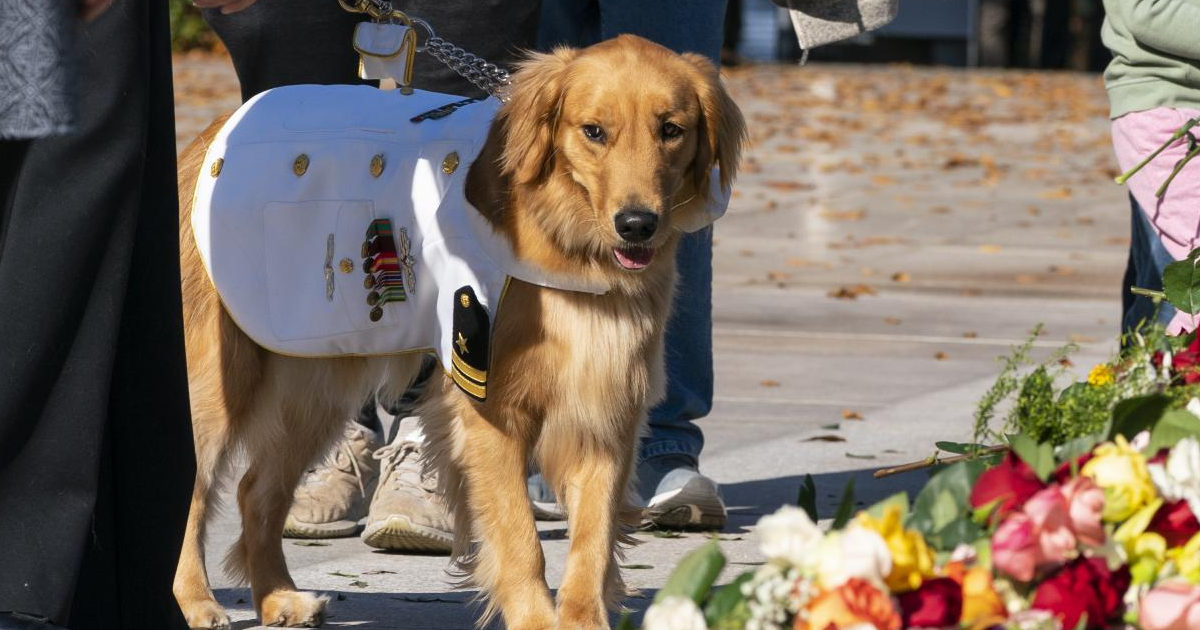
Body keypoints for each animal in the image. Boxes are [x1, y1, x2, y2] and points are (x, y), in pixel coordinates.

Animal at [174, 35, 744, 628]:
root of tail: (214, 132)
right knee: (195, 493)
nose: (637, 225)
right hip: (218, 388)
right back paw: (197, 600)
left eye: (671, 130)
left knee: (255, 490)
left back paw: (277, 597)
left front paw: (582, 617)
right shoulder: (491, 410)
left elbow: (593, 538)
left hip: (315, 386)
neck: (567, 248)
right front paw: (536, 618)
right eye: (593, 131)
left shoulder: (605, 409)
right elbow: (520, 536)